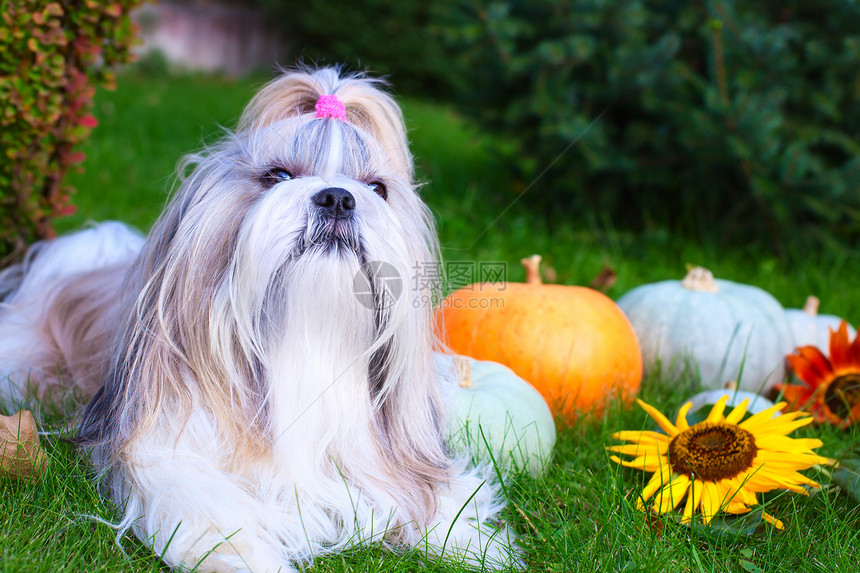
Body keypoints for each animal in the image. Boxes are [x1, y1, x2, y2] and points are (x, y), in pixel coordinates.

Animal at [0, 68, 516, 572]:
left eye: (377, 189)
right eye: (276, 175)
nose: (338, 197)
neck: (307, 341)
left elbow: (427, 490)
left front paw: (467, 538)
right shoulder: (161, 445)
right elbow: (203, 501)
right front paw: (243, 555)